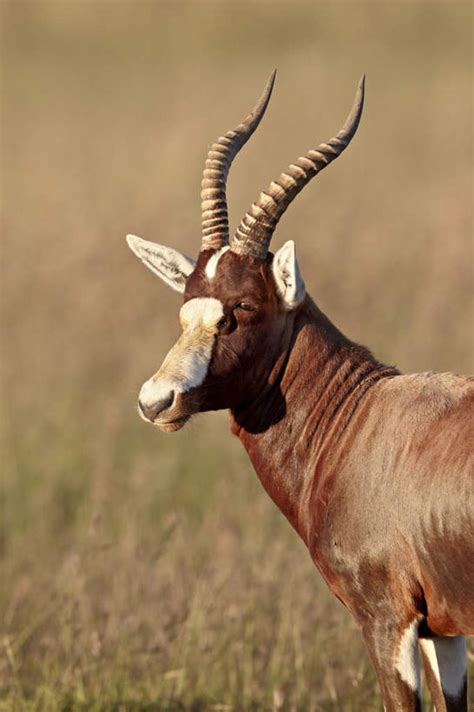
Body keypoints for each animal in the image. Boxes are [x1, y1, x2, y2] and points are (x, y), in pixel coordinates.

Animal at [127, 73, 474, 712]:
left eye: (243, 306)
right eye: (186, 302)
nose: (156, 402)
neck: (363, 418)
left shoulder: (387, 619)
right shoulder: (445, 628)